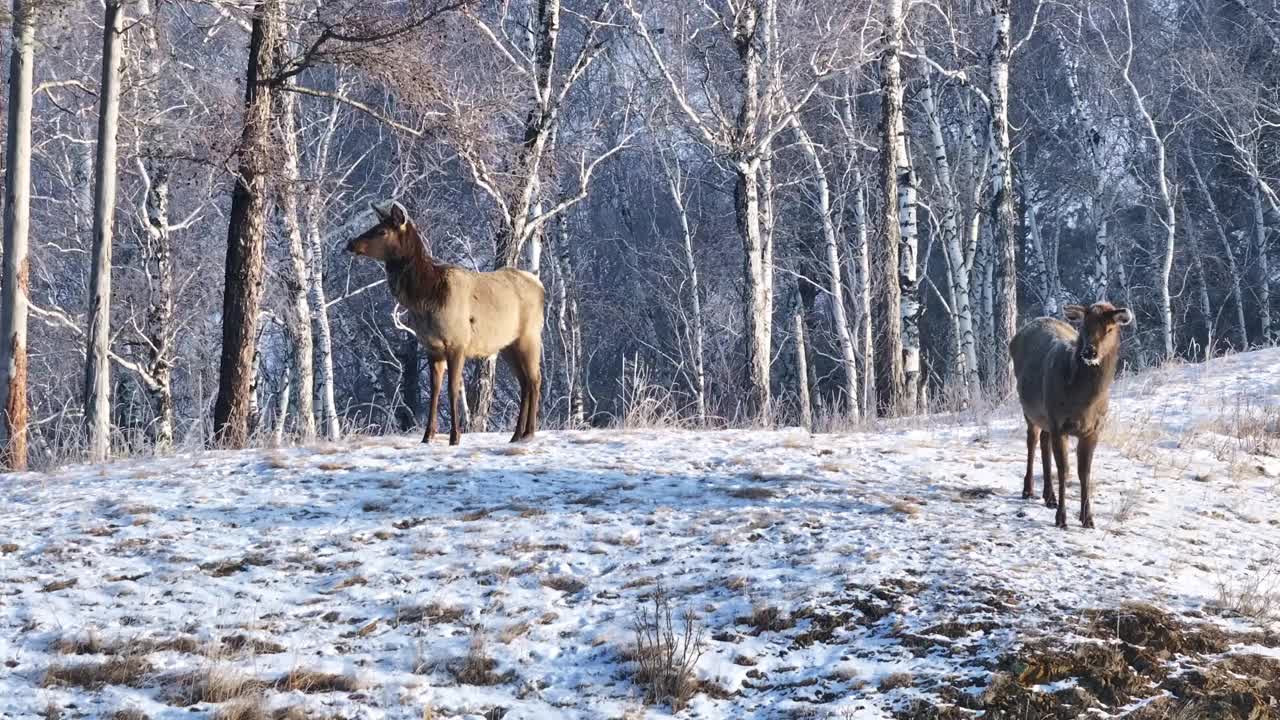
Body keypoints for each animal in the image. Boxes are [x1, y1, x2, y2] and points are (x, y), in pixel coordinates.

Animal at [348, 198, 547, 440]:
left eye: (382, 231)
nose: (351, 243)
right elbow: (435, 391)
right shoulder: (431, 346)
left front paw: (455, 436)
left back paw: (529, 432)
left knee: (535, 379)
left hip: (530, 335)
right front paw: (428, 436)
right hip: (508, 344)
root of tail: (540, 286)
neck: (426, 298)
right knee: (524, 382)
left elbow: (452, 389)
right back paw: (517, 434)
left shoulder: (457, 342)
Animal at [1008, 299, 1131, 525]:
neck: (1083, 404)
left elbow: (1085, 472)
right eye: (1083, 326)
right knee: (1032, 441)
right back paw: (1028, 490)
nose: (1089, 352)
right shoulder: (1059, 424)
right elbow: (1064, 470)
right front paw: (1061, 518)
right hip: (1030, 410)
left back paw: (1049, 496)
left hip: (1046, 416)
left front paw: (1087, 518)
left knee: (1044, 442)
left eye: (1110, 329)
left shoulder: (1093, 430)